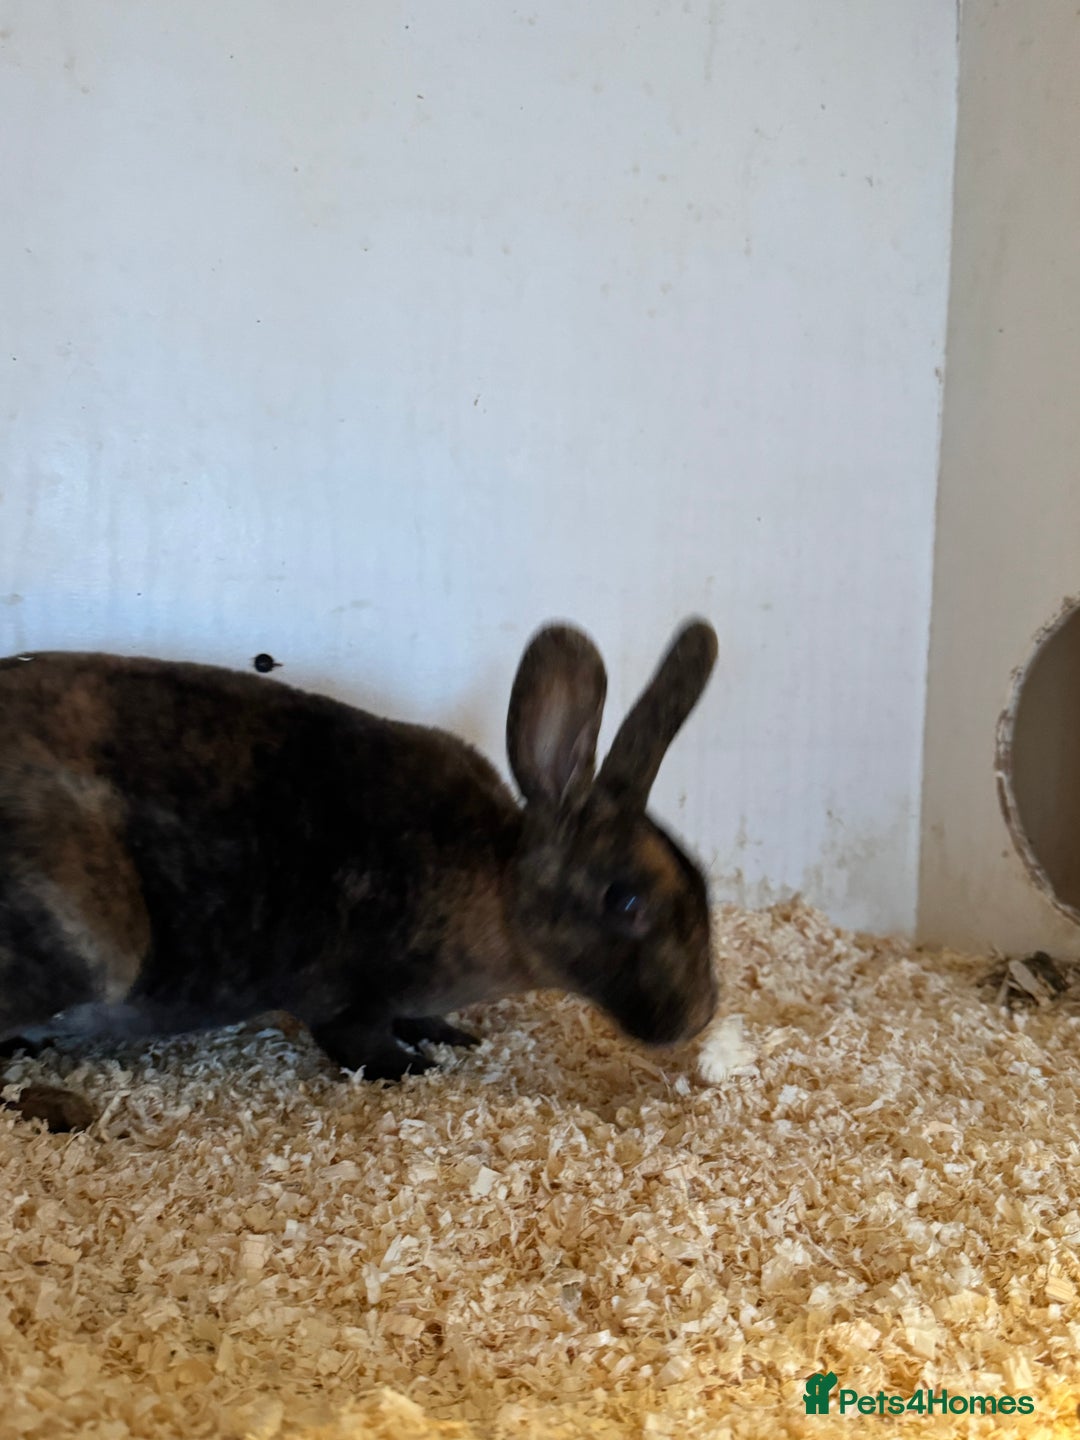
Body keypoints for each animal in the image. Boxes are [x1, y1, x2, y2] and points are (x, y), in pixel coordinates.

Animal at [0, 618, 719, 1130]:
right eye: (625, 901)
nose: (700, 1015)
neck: (501, 886)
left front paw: (454, 1036)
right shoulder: (350, 1001)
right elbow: (364, 1045)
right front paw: (424, 1067)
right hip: (93, 947)